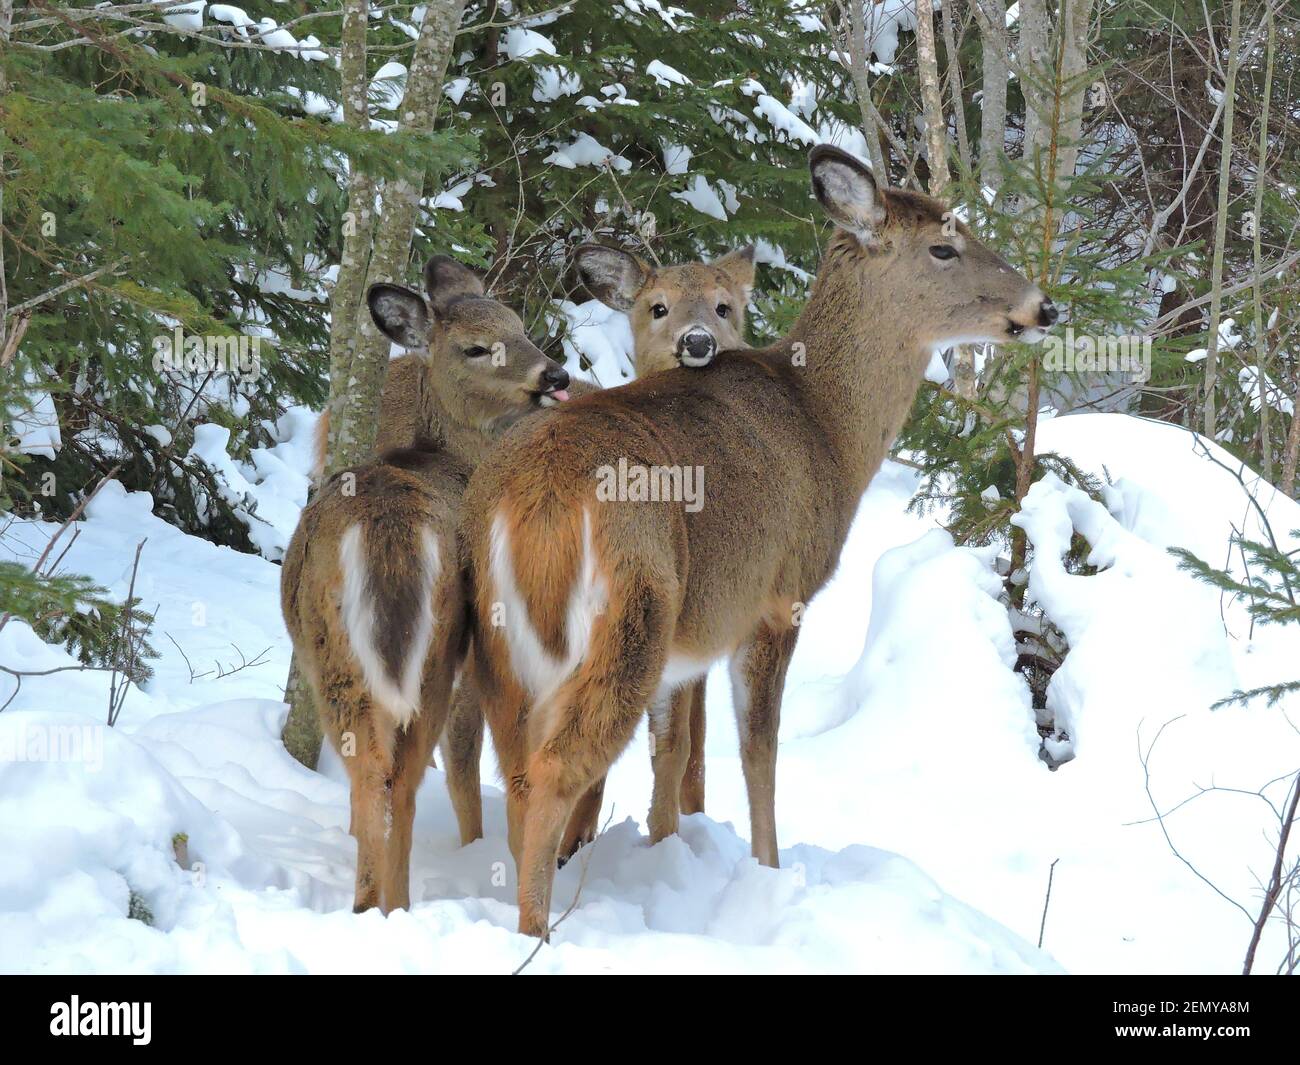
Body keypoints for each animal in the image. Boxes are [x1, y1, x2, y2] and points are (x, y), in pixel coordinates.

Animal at [282, 258, 572, 915]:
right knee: (406, 778)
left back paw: (368, 904)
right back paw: (398, 902)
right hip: (437, 650)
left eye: (520, 326)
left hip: (328, 651)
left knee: (371, 775)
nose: (556, 372)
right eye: (476, 348)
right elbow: (465, 756)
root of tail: (386, 536)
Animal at [548, 243, 754, 858]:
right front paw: (578, 840)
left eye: (724, 306)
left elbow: (688, 740)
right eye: (657, 306)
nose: (698, 341)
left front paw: (679, 829)